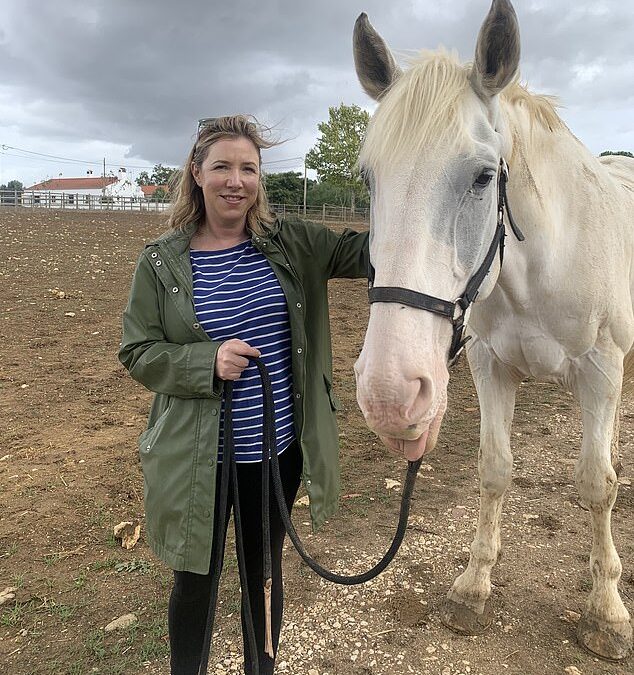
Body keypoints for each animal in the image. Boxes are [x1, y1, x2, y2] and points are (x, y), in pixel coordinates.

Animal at [350, 0, 632, 660]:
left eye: (483, 177)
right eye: (369, 178)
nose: (389, 394)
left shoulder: (601, 369)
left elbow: (596, 483)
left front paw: (606, 610)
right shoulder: (489, 366)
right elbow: (494, 469)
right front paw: (474, 585)